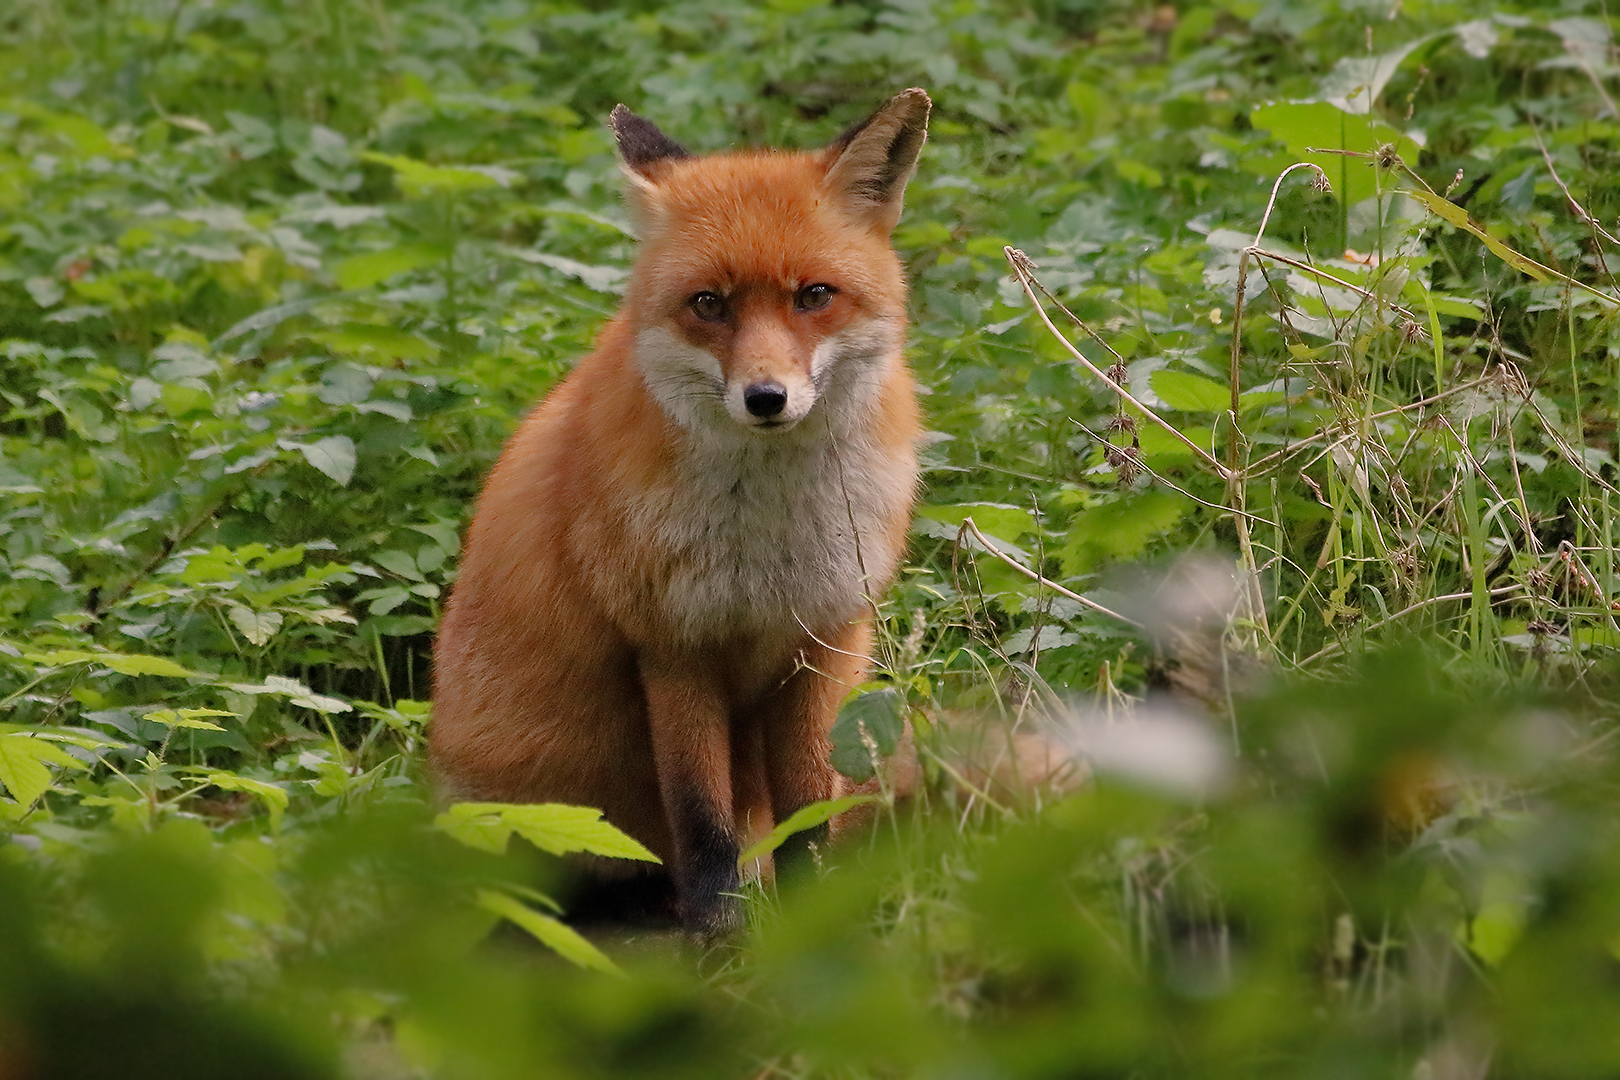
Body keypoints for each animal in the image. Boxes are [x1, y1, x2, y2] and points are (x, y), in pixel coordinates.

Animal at [430, 90, 933, 939]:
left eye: (814, 296)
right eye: (709, 304)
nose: (766, 398)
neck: (769, 537)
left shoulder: (824, 636)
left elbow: (808, 807)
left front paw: (811, 911)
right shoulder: (673, 642)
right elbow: (700, 814)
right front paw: (718, 928)